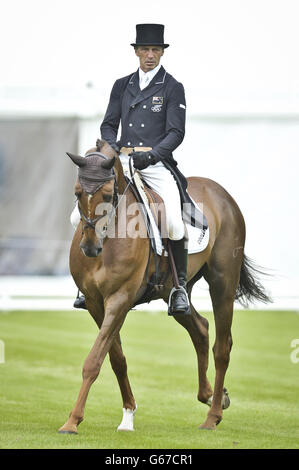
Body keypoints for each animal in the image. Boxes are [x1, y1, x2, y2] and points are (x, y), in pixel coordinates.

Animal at [58, 140, 272, 434]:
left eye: (108, 194)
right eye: (78, 192)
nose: (90, 247)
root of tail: (221, 192)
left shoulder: (120, 299)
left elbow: (94, 360)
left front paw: (72, 421)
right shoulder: (94, 302)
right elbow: (116, 358)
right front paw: (128, 413)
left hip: (223, 284)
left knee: (222, 347)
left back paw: (212, 416)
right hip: (174, 290)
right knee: (200, 328)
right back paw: (209, 396)